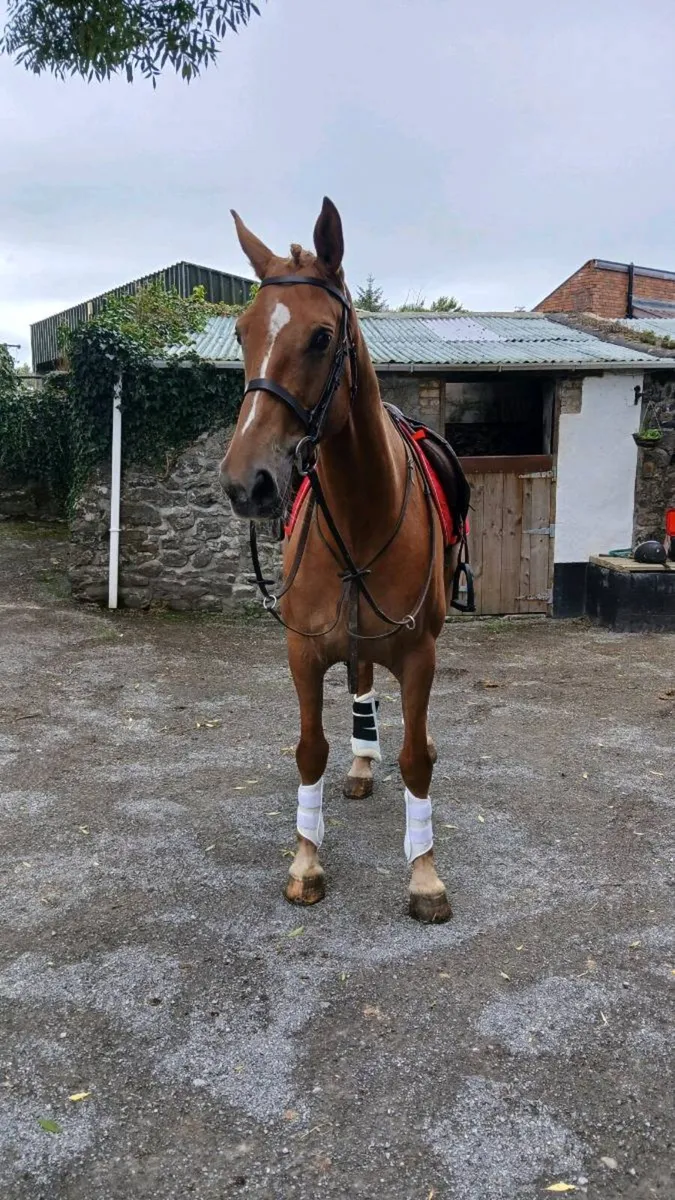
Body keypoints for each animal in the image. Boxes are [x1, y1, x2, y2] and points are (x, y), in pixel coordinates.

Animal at [219, 198, 470, 923]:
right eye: (243, 332)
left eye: (322, 337)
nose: (246, 483)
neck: (362, 517)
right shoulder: (302, 651)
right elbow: (310, 751)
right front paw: (306, 861)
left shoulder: (419, 653)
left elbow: (415, 760)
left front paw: (424, 876)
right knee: (359, 680)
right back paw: (360, 764)